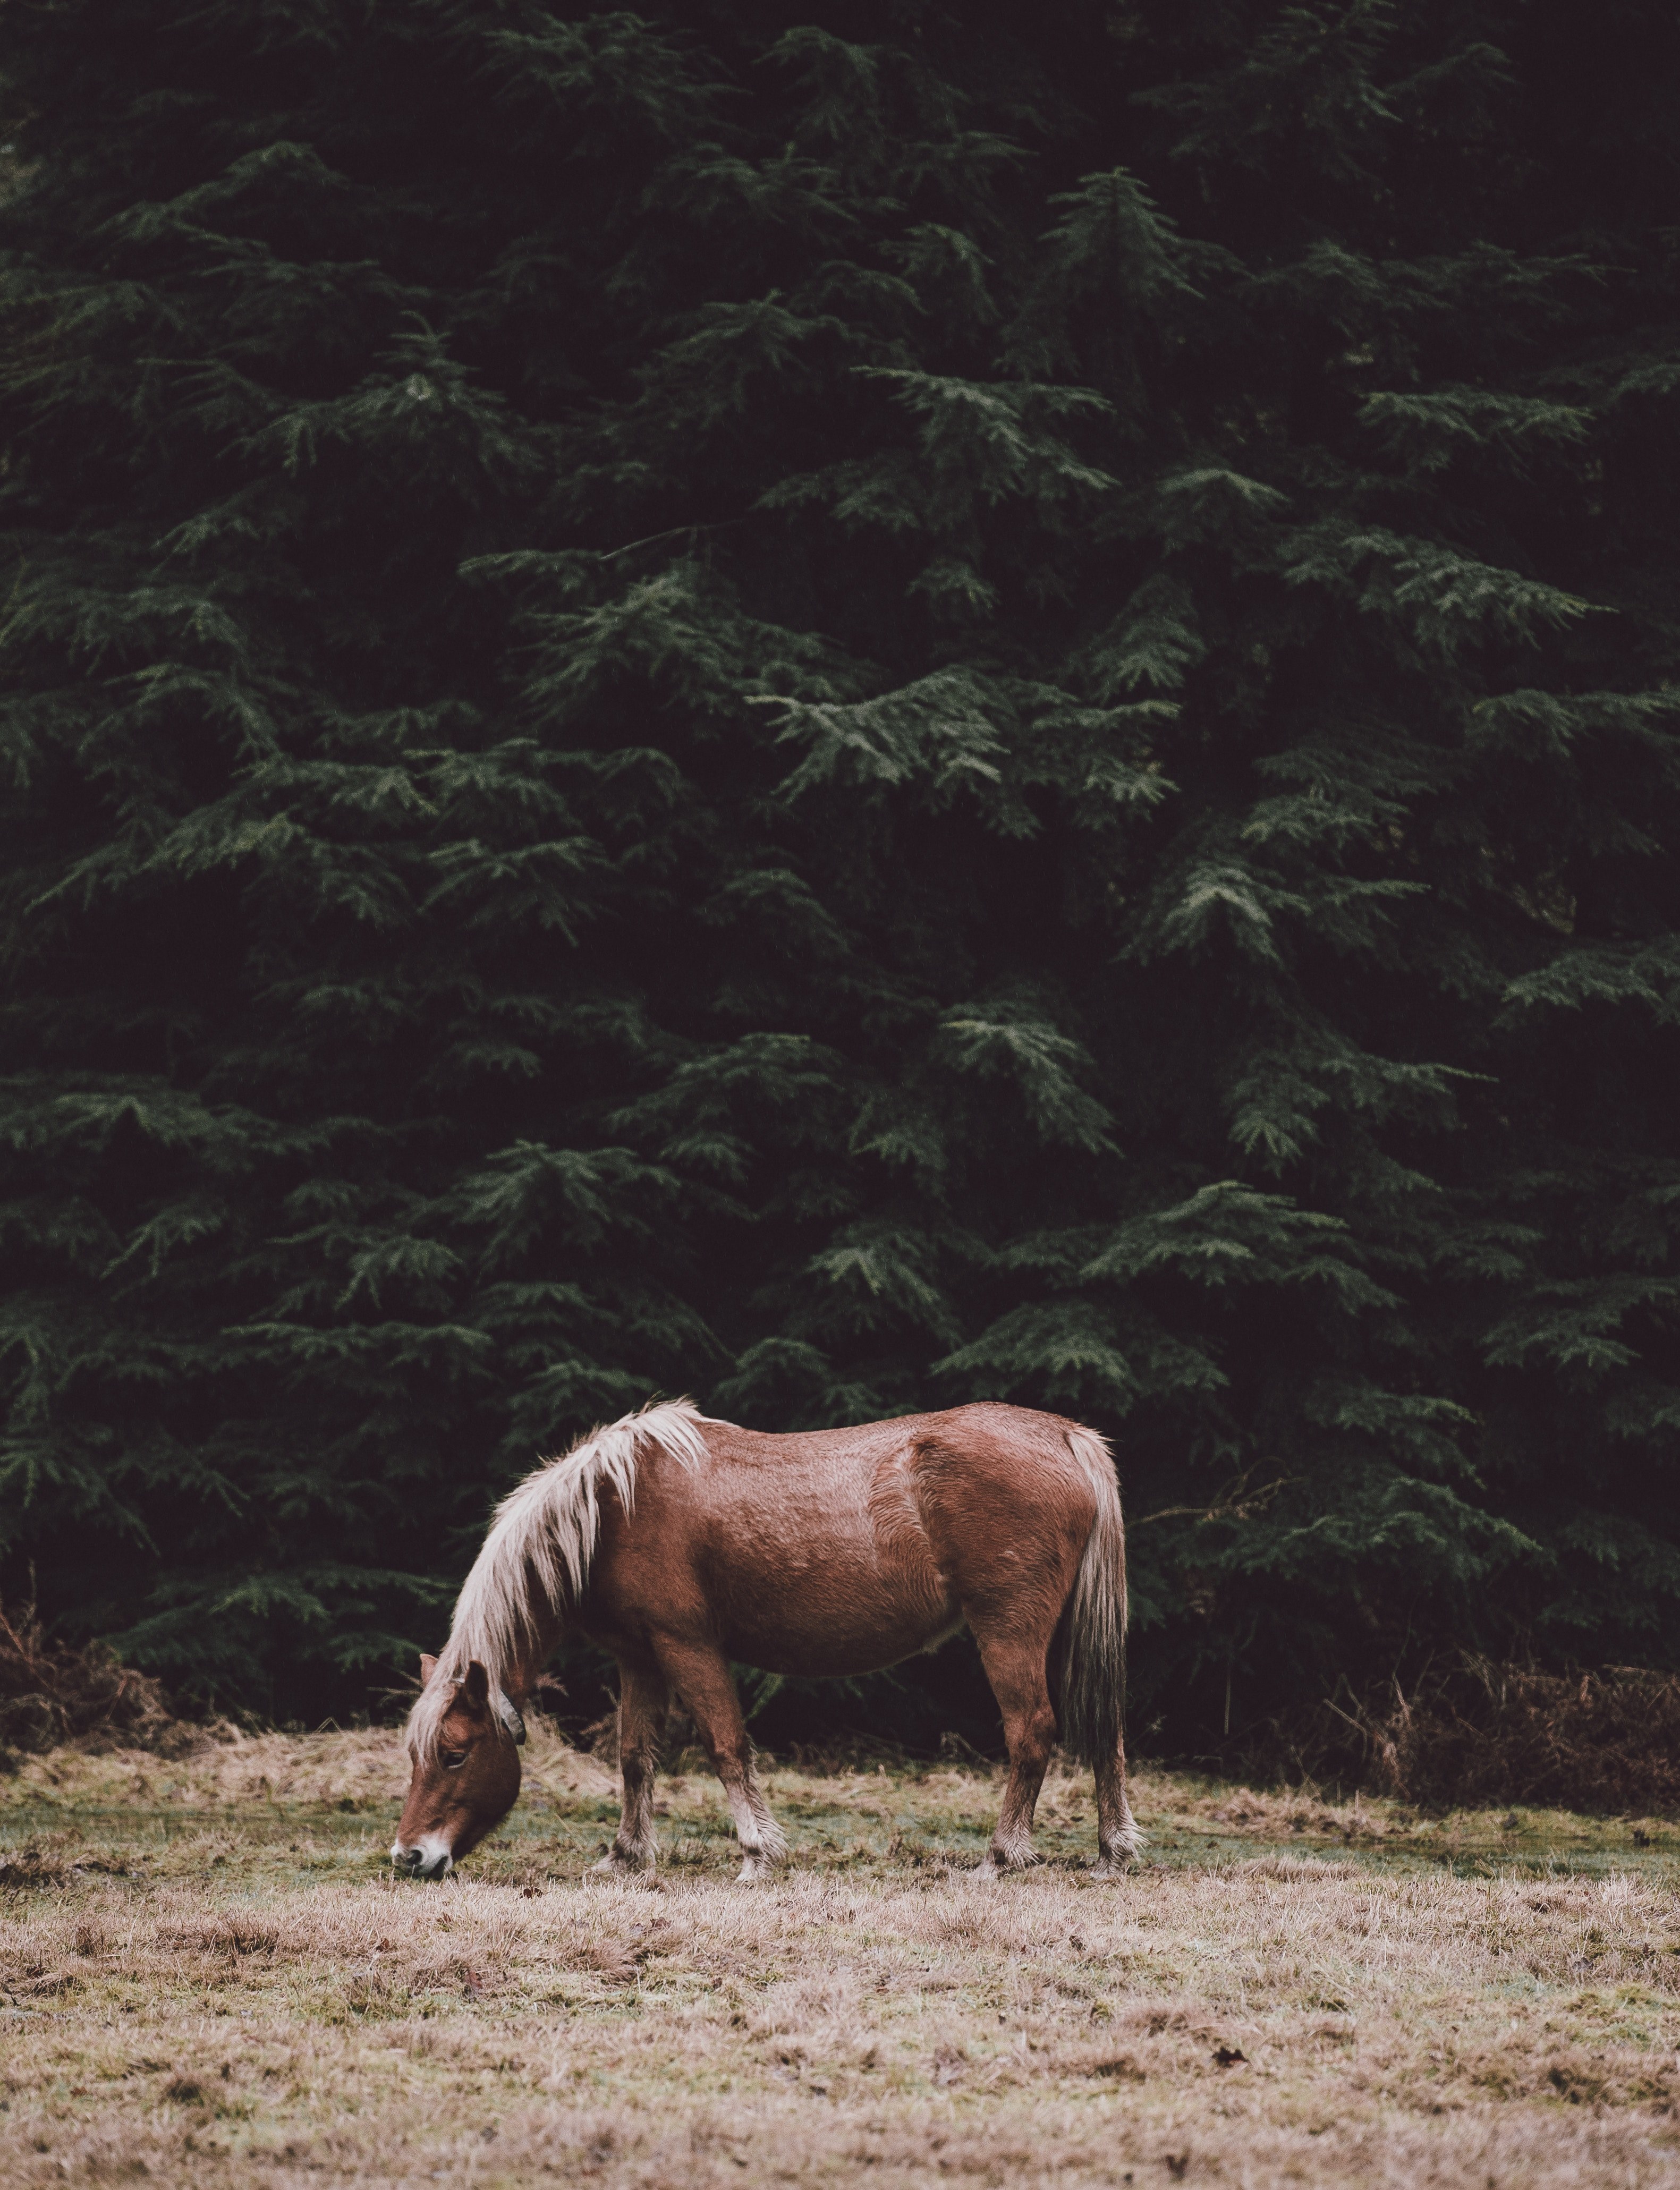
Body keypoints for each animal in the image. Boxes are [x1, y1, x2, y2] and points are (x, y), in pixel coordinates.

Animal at [393, 1397, 1139, 1883]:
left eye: (455, 1754)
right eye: (416, 1754)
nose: (410, 1858)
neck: (613, 1508)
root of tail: (1065, 1436)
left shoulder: (688, 1646)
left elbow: (727, 1746)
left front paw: (756, 1855)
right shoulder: (640, 1659)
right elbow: (635, 1758)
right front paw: (625, 1856)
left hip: (1008, 1630)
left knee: (1031, 1732)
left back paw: (999, 1857)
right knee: (1105, 1731)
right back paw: (1111, 1852)